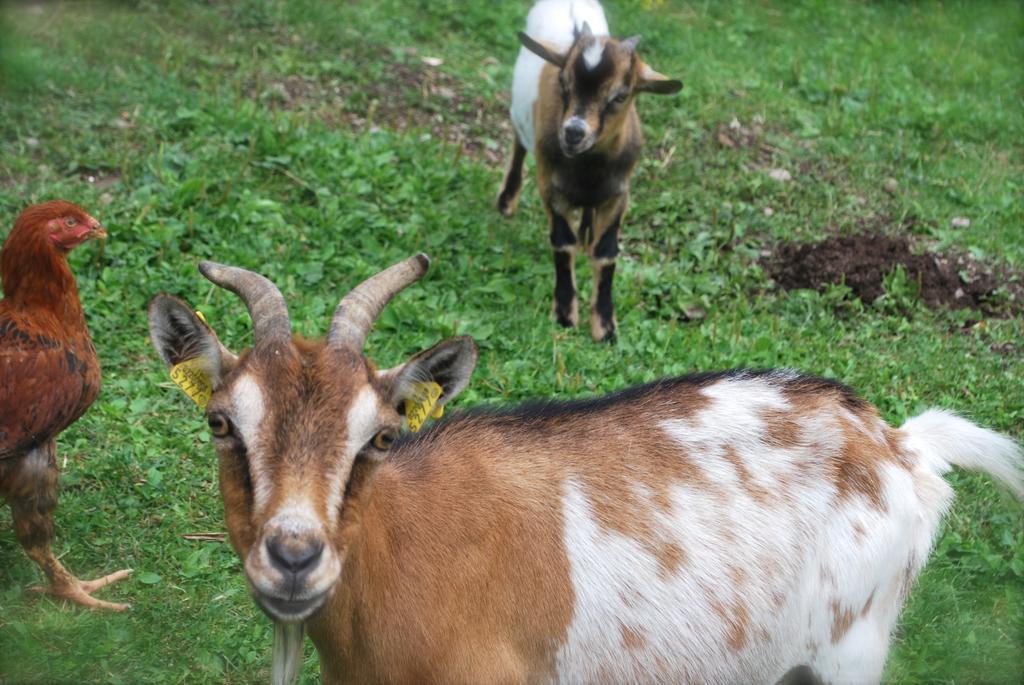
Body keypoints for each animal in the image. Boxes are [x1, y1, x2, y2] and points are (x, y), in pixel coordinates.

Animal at [495, 0, 679, 341]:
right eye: (563, 84)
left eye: (621, 96)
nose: (573, 132)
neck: (589, 171)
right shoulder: (550, 188)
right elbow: (562, 242)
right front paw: (565, 314)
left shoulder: (619, 194)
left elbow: (606, 253)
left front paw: (605, 328)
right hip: (519, 117)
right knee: (518, 144)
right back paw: (506, 200)